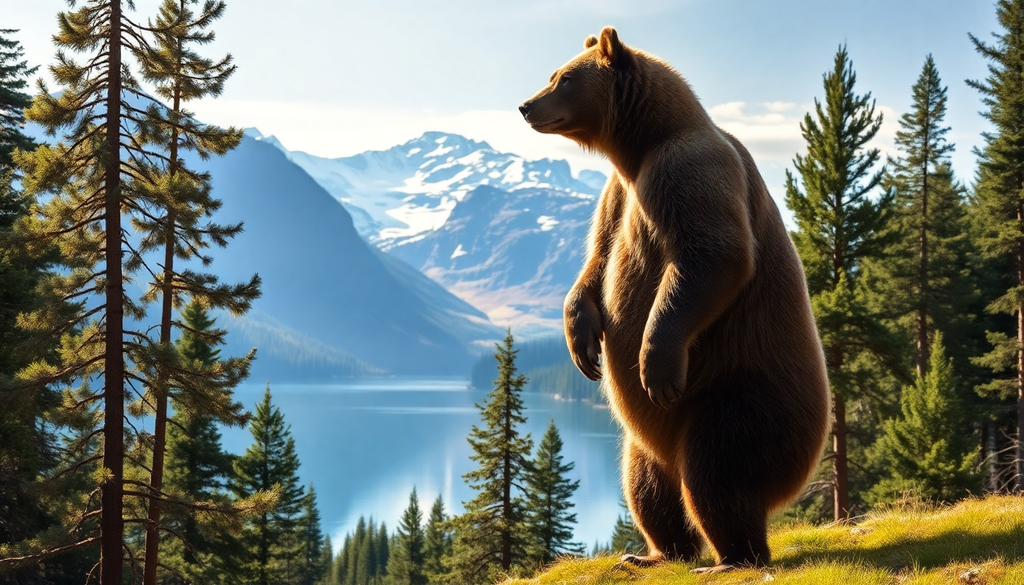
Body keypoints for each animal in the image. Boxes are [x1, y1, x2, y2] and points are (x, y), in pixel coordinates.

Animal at [519, 28, 831, 572]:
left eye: (565, 78)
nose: (526, 105)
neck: (638, 148)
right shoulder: (617, 198)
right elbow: (597, 263)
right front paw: (582, 345)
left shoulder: (687, 171)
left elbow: (712, 257)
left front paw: (654, 363)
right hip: (645, 442)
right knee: (646, 483)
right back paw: (653, 552)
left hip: (739, 391)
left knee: (718, 469)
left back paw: (731, 556)